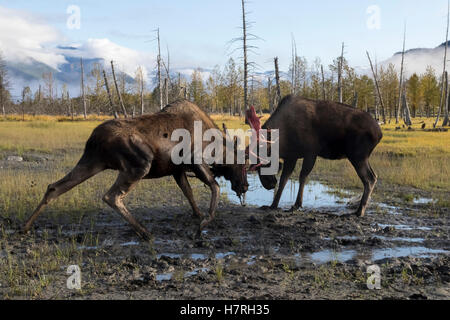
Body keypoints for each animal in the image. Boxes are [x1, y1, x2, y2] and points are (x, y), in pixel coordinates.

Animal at [23, 101, 250, 239]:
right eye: (243, 164)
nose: (246, 186)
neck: (216, 147)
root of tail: (93, 139)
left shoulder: (177, 170)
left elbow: (189, 193)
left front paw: (198, 215)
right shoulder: (194, 159)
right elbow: (214, 186)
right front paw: (203, 223)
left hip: (92, 162)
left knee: (54, 187)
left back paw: (25, 227)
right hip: (140, 163)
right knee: (111, 196)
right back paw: (144, 232)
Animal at [248, 94, 382, 216]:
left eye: (264, 163)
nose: (269, 184)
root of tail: (379, 133)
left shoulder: (310, 153)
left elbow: (302, 177)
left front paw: (297, 205)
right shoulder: (291, 157)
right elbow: (284, 180)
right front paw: (273, 205)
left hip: (358, 156)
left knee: (370, 179)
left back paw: (359, 211)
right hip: (362, 157)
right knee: (374, 176)